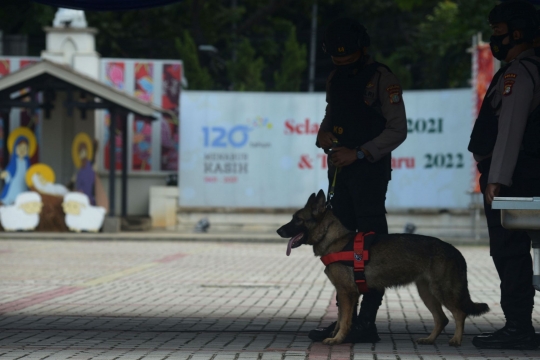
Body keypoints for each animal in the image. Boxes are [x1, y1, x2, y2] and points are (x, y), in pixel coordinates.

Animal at [278, 191, 490, 346]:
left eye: (297, 219)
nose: (278, 230)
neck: (336, 240)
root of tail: (455, 250)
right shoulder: (345, 293)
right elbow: (340, 319)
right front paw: (336, 335)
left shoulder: (348, 293)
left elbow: (344, 321)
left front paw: (337, 339)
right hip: (426, 293)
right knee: (442, 319)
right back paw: (429, 339)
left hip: (441, 291)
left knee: (459, 313)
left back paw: (456, 340)